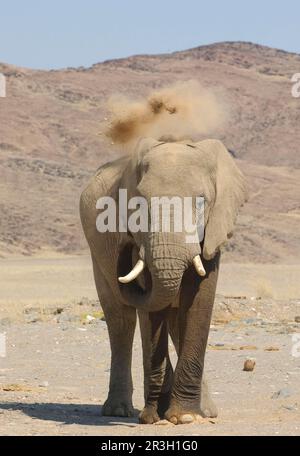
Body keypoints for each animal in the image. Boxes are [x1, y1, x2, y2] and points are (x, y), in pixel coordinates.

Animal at [80, 137, 248, 426]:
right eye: (139, 205)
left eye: (201, 203)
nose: (125, 243)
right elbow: (150, 313)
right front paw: (155, 416)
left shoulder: (214, 229)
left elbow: (199, 300)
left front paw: (186, 416)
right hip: (97, 254)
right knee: (122, 320)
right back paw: (119, 411)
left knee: (174, 322)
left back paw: (206, 411)